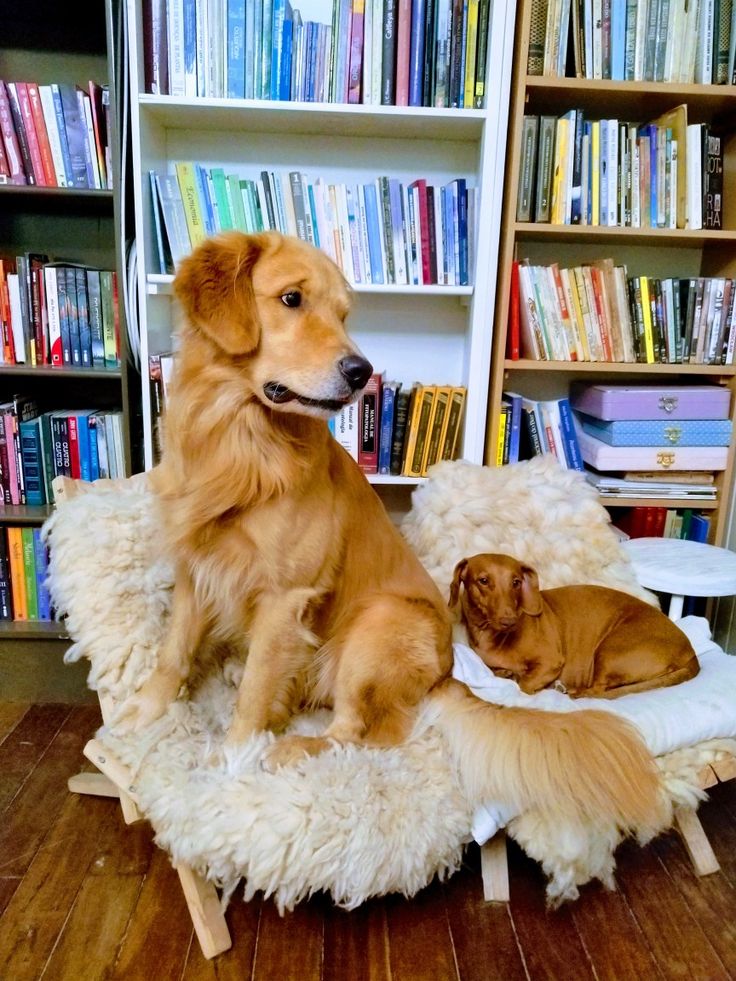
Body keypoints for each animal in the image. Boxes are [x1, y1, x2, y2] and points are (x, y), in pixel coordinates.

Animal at [113, 230, 668, 848]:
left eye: (342, 315)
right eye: (291, 300)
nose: (361, 371)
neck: (240, 439)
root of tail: (448, 669)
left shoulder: (285, 598)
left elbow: (256, 689)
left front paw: (233, 759)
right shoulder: (194, 569)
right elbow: (173, 653)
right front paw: (143, 711)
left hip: (378, 623)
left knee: (360, 733)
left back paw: (294, 746)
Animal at [448, 552, 700, 696]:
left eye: (516, 582)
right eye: (483, 581)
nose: (509, 621)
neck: (493, 637)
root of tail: (691, 654)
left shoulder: (550, 661)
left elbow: (524, 685)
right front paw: (507, 673)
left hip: (610, 651)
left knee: (597, 691)